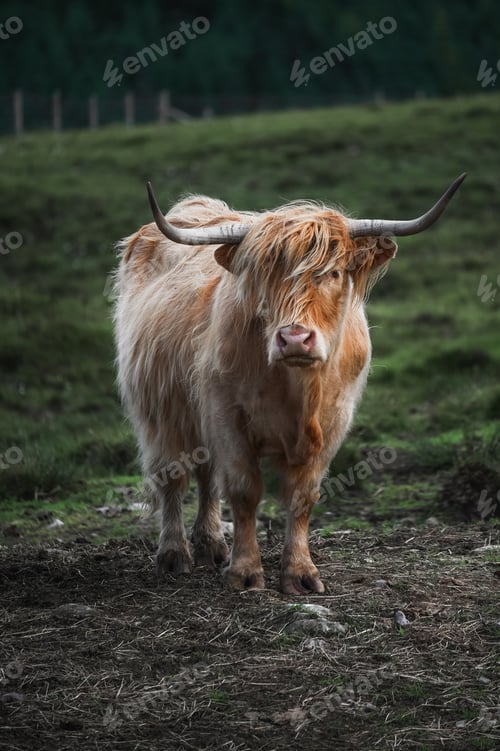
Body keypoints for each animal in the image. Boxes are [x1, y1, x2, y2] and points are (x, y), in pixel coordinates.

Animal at [113, 174, 465, 594]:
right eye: (265, 276)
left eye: (333, 272)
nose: (295, 339)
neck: (296, 390)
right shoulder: (225, 414)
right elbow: (244, 490)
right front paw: (245, 572)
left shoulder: (334, 421)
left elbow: (302, 496)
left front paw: (300, 573)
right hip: (159, 409)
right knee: (173, 476)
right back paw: (174, 554)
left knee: (205, 475)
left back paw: (211, 544)